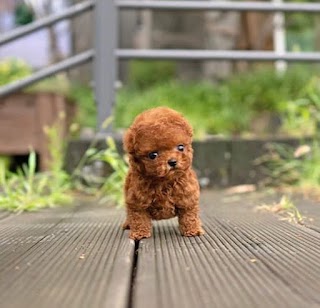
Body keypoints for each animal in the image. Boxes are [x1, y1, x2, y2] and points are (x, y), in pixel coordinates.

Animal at [121, 107, 204, 239]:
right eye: (153, 155)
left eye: (181, 147)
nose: (172, 162)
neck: (164, 181)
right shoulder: (137, 201)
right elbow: (139, 217)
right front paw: (140, 233)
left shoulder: (188, 197)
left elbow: (189, 215)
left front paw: (193, 230)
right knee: (130, 215)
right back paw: (128, 224)